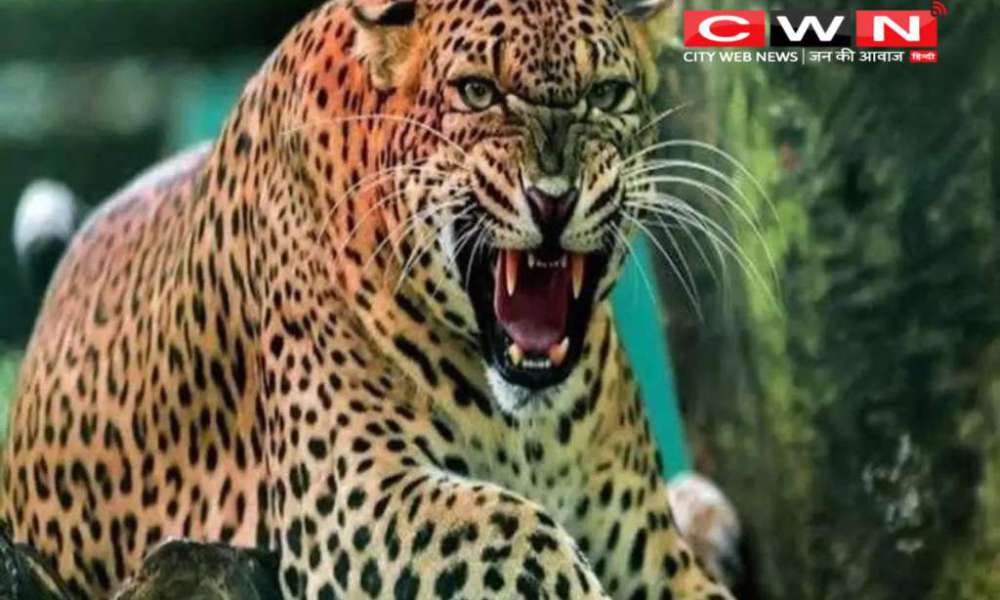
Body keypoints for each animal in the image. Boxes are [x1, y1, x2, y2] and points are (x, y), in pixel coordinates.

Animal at [1, 0, 739, 598]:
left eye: (607, 94)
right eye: (478, 92)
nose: (553, 197)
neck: (530, 427)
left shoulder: (649, 549)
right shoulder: (350, 497)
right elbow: (516, 528)